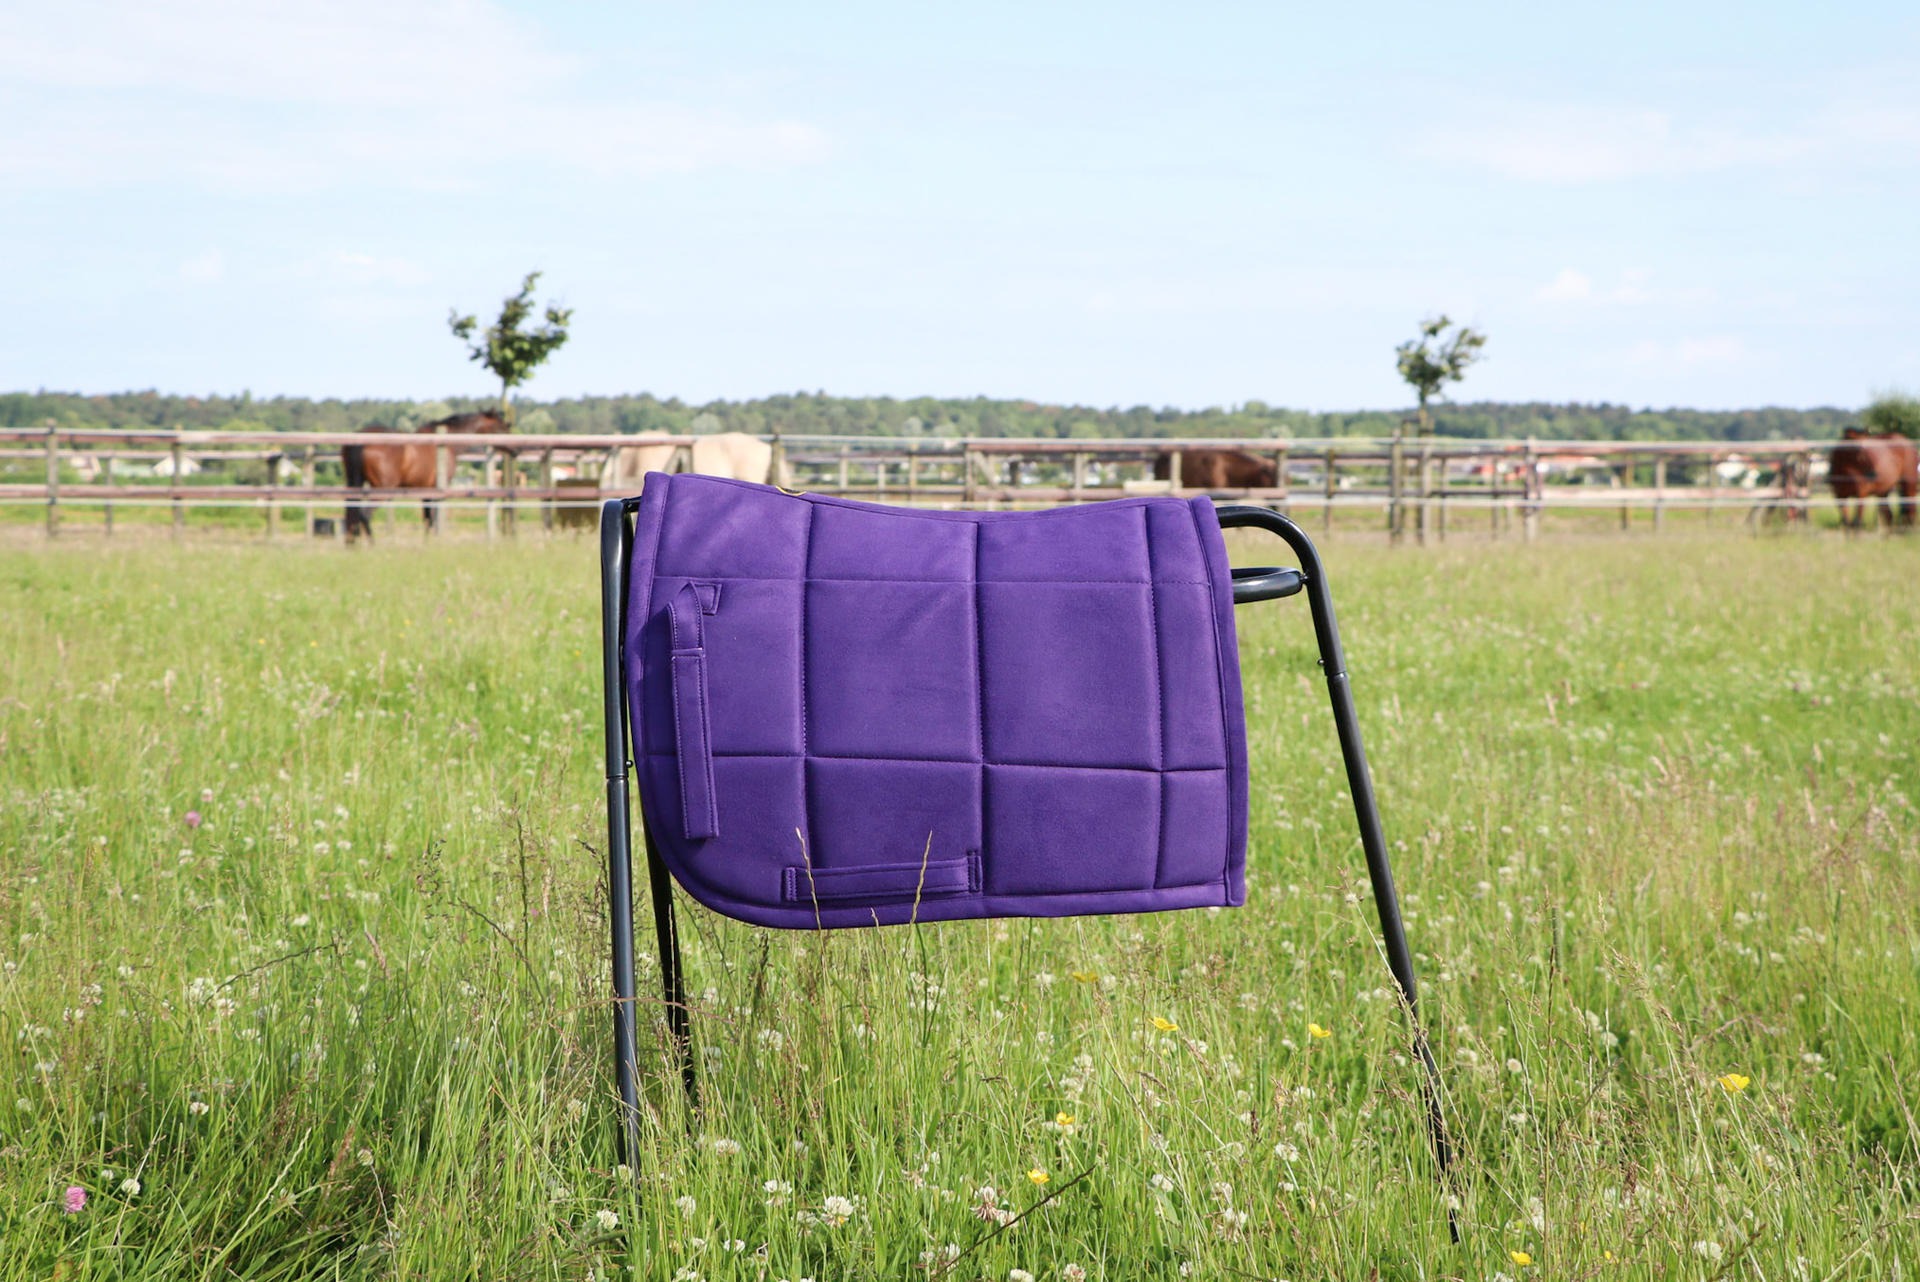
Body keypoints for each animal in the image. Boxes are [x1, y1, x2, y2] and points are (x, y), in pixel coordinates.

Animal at [341, 410, 510, 540]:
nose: (515, 450)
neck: (448, 444)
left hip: (354, 483)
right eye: (502, 427)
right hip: (382, 490)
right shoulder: (436, 490)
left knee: (352, 514)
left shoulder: (426, 491)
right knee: (364, 515)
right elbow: (432, 518)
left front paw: (427, 542)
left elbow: (427, 519)